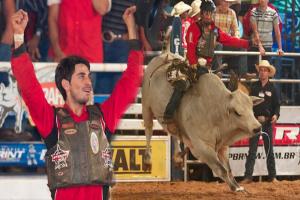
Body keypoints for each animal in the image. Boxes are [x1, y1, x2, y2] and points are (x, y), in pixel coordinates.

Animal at [142, 52, 262, 191]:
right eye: (237, 112)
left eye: (252, 108)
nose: (257, 128)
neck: (216, 112)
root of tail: (165, 54)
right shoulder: (202, 147)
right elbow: (221, 169)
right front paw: (234, 188)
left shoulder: (223, 145)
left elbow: (228, 169)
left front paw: (238, 186)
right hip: (146, 106)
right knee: (149, 130)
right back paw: (147, 161)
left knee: (173, 133)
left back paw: (177, 158)